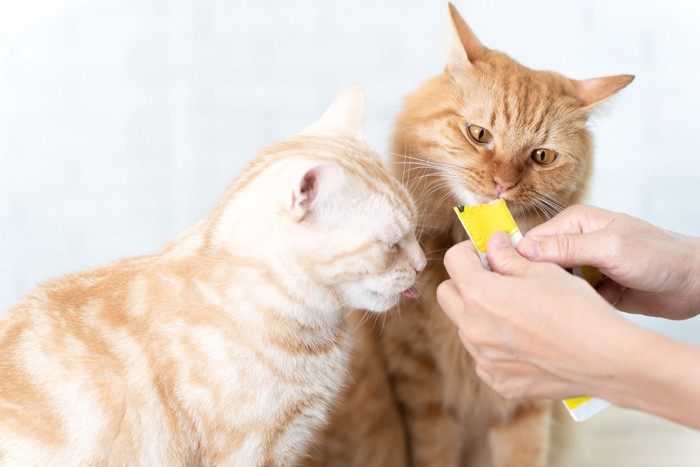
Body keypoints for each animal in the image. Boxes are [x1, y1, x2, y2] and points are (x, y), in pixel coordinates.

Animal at [314, 4, 636, 467]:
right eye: (479, 134)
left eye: (542, 156)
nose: (502, 184)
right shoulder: (423, 392)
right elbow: (434, 452)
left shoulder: (525, 406)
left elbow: (524, 453)